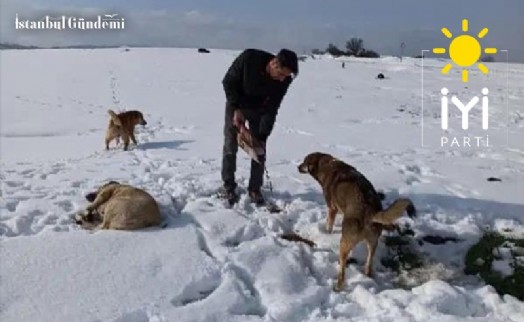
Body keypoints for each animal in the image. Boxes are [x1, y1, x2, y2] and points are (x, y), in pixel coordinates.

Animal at [298, 152, 414, 290]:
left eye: (304, 162)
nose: (298, 167)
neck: (326, 165)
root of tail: (369, 212)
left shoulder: (332, 209)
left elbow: (329, 225)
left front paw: (326, 234)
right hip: (372, 244)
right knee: (368, 264)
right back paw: (368, 276)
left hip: (344, 244)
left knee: (342, 270)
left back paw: (338, 286)